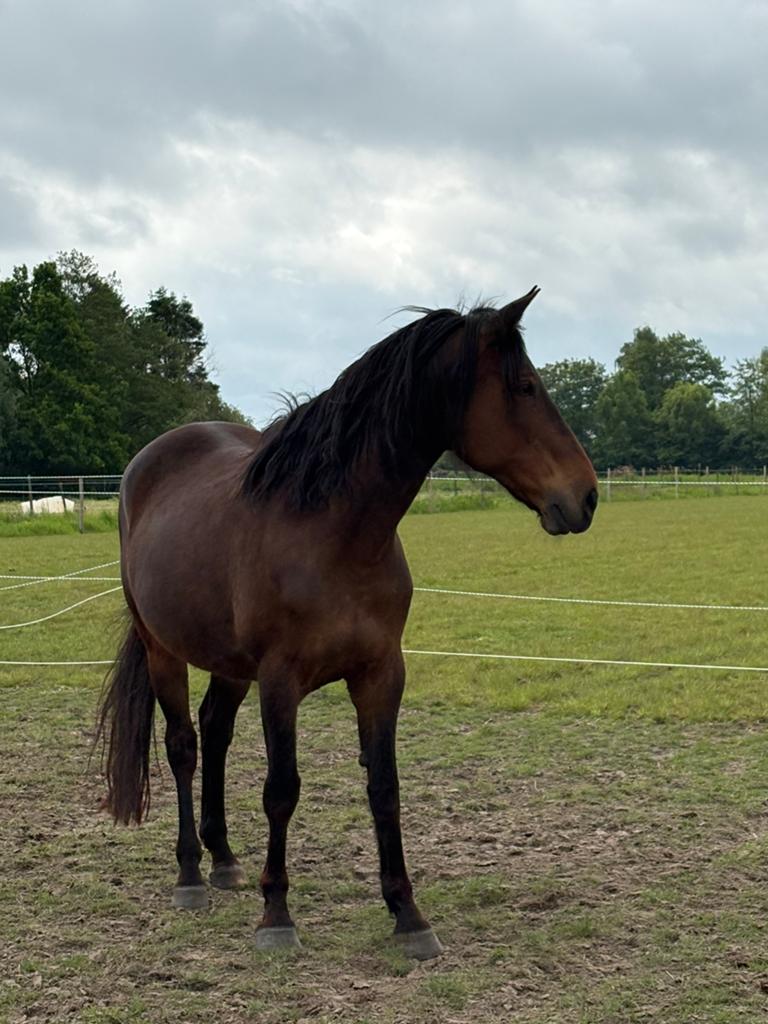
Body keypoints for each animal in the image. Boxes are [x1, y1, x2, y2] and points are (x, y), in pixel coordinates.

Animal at [96, 287, 598, 960]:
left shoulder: (381, 674)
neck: (336, 532)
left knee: (216, 732)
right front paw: (276, 914)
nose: (586, 496)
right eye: (524, 386)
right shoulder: (280, 681)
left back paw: (224, 858)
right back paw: (191, 875)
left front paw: (408, 914)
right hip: (163, 649)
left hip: (229, 664)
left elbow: (384, 787)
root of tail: (144, 466)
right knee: (183, 745)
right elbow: (281, 790)